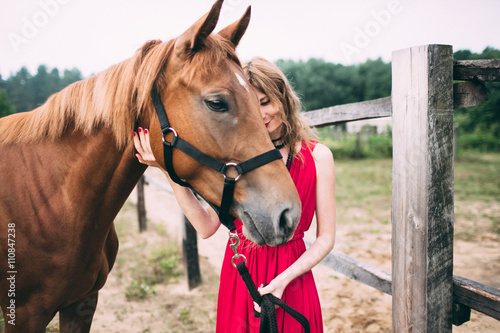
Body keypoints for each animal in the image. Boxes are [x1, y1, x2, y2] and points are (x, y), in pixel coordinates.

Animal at [0, 1, 300, 330]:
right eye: (217, 103)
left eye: (259, 102)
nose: (288, 214)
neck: (51, 199)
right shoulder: (25, 315)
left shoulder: (82, 303)